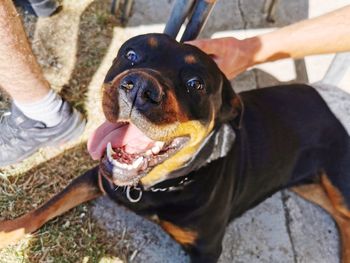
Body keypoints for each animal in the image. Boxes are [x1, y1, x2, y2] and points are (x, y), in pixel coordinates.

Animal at [0, 34, 350, 262]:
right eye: (130, 55)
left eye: (196, 83)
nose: (140, 88)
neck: (155, 184)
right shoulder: (97, 176)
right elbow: (47, 206)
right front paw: (7, 231)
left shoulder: (206, 249)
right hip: (306, 183)